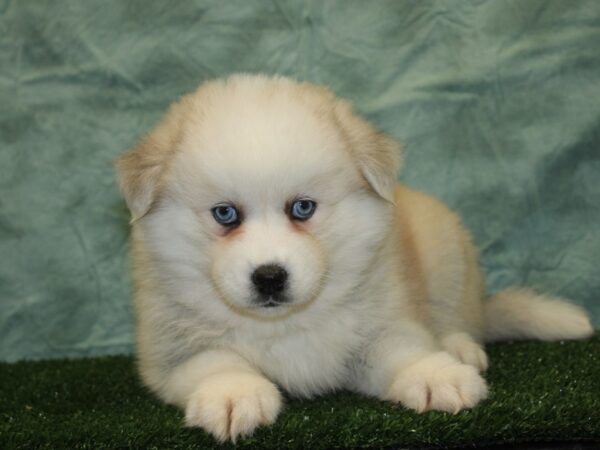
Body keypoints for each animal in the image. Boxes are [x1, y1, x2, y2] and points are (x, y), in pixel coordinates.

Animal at [115, 74, 592, 442]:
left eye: (303, 208)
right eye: (225, 214)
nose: (269, 277)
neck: (284, 325)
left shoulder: (380, 326)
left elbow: (404, 349)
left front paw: (439, 376)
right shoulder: (171, 354)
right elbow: (215, 362)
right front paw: (234, 395)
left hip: (449, 254)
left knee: (459, 317)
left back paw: (460, 348)